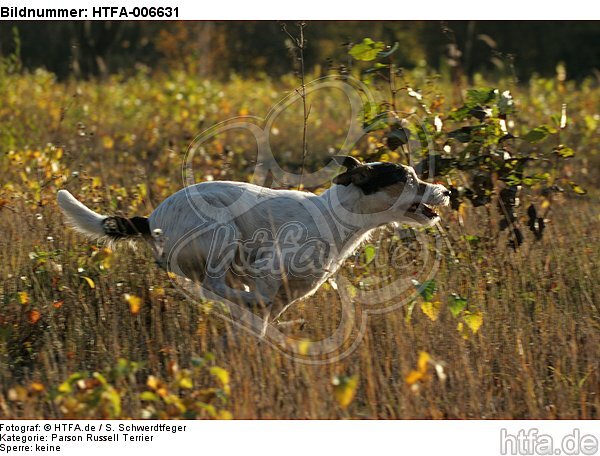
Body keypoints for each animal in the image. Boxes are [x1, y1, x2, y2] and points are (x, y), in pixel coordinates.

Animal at [57, 157, 450, 320]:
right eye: (409, 179)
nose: (446, 191)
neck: (335, 217)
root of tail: (151, 217)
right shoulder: (269, 266)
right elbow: (260, 295)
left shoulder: (289, 296)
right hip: (223, 231)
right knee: (215, 286)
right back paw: (242, 298)